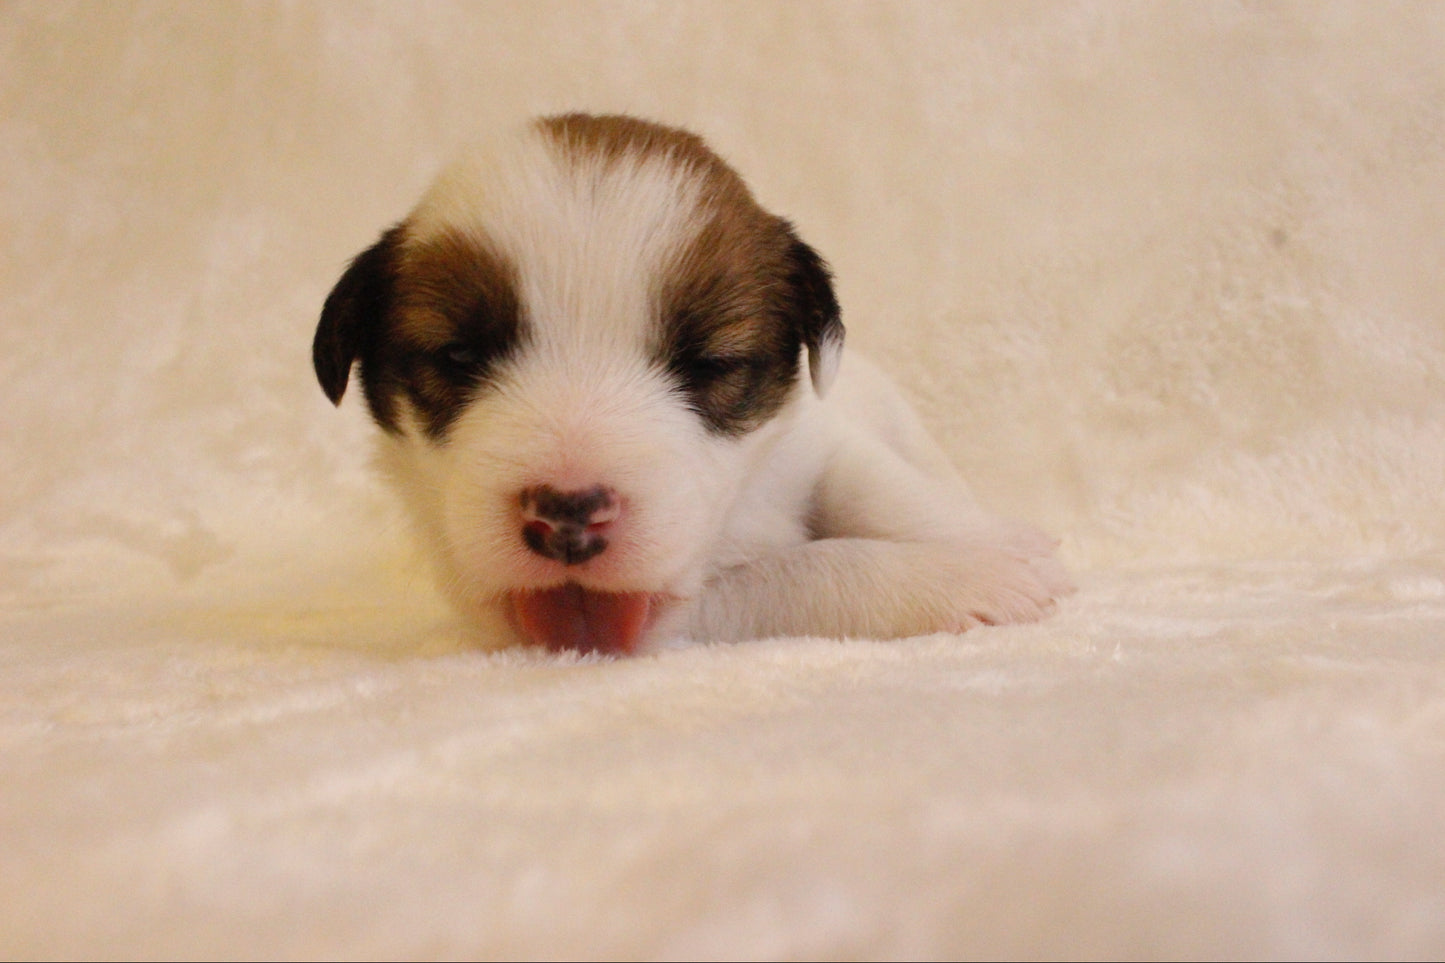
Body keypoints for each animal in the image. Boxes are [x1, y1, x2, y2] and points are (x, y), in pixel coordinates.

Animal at [310, 110, 1069, 653]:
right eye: (460, 357)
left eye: (707, 363)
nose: (567, 515)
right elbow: (799, 574)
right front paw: (959, 579)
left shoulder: (823, 447)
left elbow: (885, 492)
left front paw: (1001, 549)